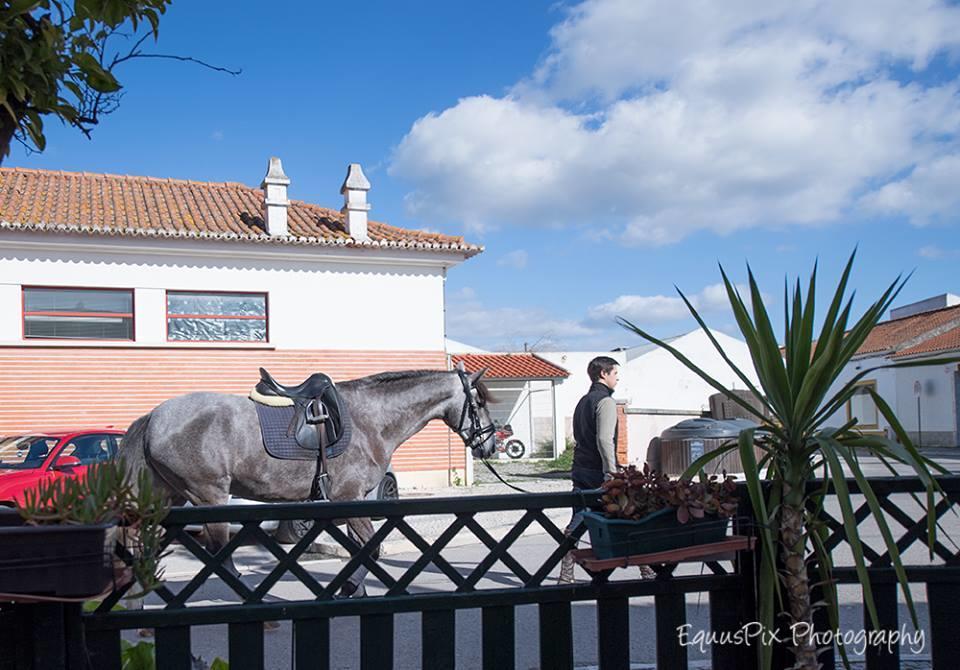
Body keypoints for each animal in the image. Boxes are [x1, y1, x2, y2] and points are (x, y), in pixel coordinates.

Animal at [119, 368, 496, 600]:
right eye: (477, 402)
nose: (490, 445)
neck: (369, 419)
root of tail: (154, 416)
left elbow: (360, 549)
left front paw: (352, 588)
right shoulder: (351, 499)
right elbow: (371, 548)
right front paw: (351, 588)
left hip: (167, 496)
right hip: (207, 497)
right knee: (219, 556)